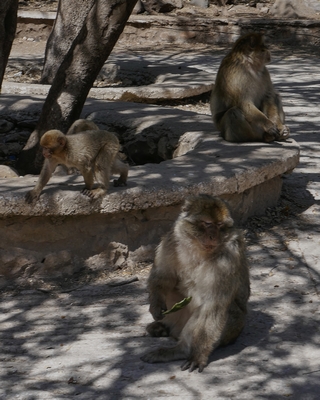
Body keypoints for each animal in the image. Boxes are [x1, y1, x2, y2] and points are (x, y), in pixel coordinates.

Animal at [142, 195, 250, 374]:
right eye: (207, 224)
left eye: (219, 226)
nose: (214, 236)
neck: (198, 247)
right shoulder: (172, 240)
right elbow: (163, 277)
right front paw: (156, 306)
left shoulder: (227, 258)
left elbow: (213, 306)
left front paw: (198, 355)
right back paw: (162, 328)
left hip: (234, 327)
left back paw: (180, 350)